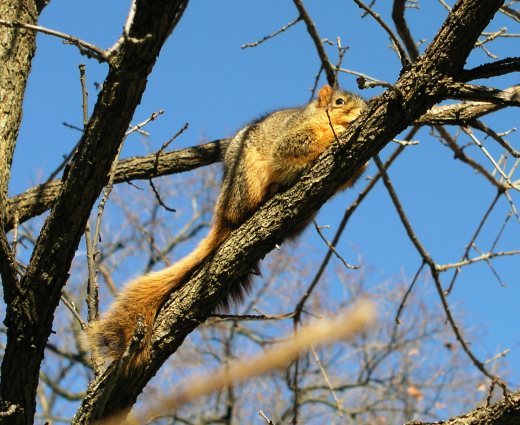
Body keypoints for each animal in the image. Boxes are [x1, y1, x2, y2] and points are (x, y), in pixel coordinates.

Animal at [88, 84, 366, 372]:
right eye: (339, 101)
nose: (363, 111)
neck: (317, 116)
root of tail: (222, 213)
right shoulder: (294, 135)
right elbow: (295, 147)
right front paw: (339, 132)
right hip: (245, 179)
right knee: (243, 209)